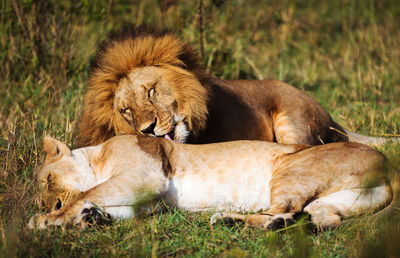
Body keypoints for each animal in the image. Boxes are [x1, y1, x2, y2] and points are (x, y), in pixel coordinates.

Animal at [29, 135, 398, 230]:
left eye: (48, 179)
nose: (51, 203)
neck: (98, 153)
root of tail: (387, 166)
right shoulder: (150, 200)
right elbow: (110, 205)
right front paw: (92, 218)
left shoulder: (144, 175)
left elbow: (87, 193)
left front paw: (47, 219)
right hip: (333, 201)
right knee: (323, 219)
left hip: (290, 170)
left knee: (283, 212)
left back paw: (228, 220)